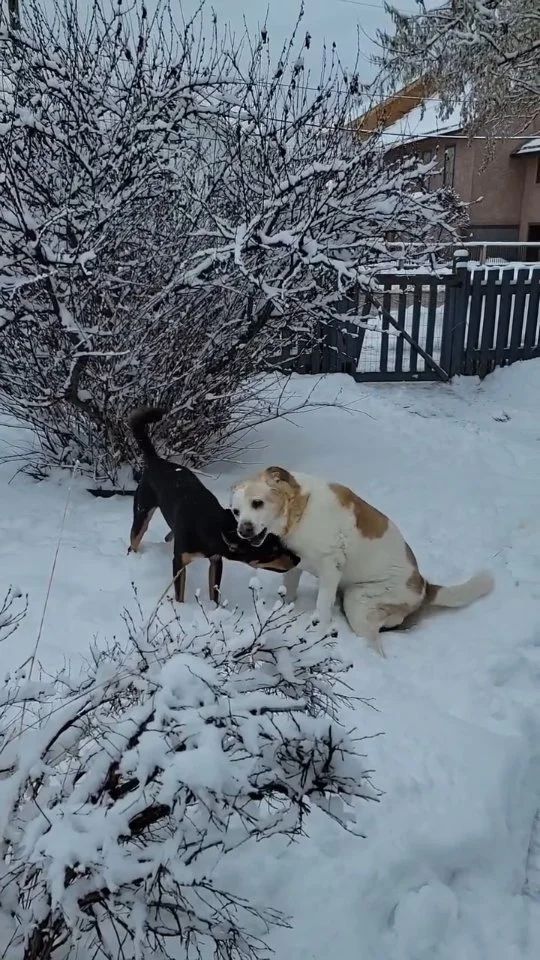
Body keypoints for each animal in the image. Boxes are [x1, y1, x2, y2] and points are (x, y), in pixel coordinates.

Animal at [128, 410, 299, 603]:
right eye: (272, 552)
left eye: (279, 542)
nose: (298, 559)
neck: (215, 525)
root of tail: (155, 460)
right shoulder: (179, 561)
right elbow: (180, 593)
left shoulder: (216, 559)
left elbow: (214, 591)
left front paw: (214, 608)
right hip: (142, 511)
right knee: (134, 538)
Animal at [230, 466, 494, 654]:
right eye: (236, 511)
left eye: (257, 503)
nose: (243, 530)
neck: (300, 508)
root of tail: (423, 585)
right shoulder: (295, 565)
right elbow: (288, 594)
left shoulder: (331, 567)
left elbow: (321, 610)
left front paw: (316, 637)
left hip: (357, 601)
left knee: (375, 645)